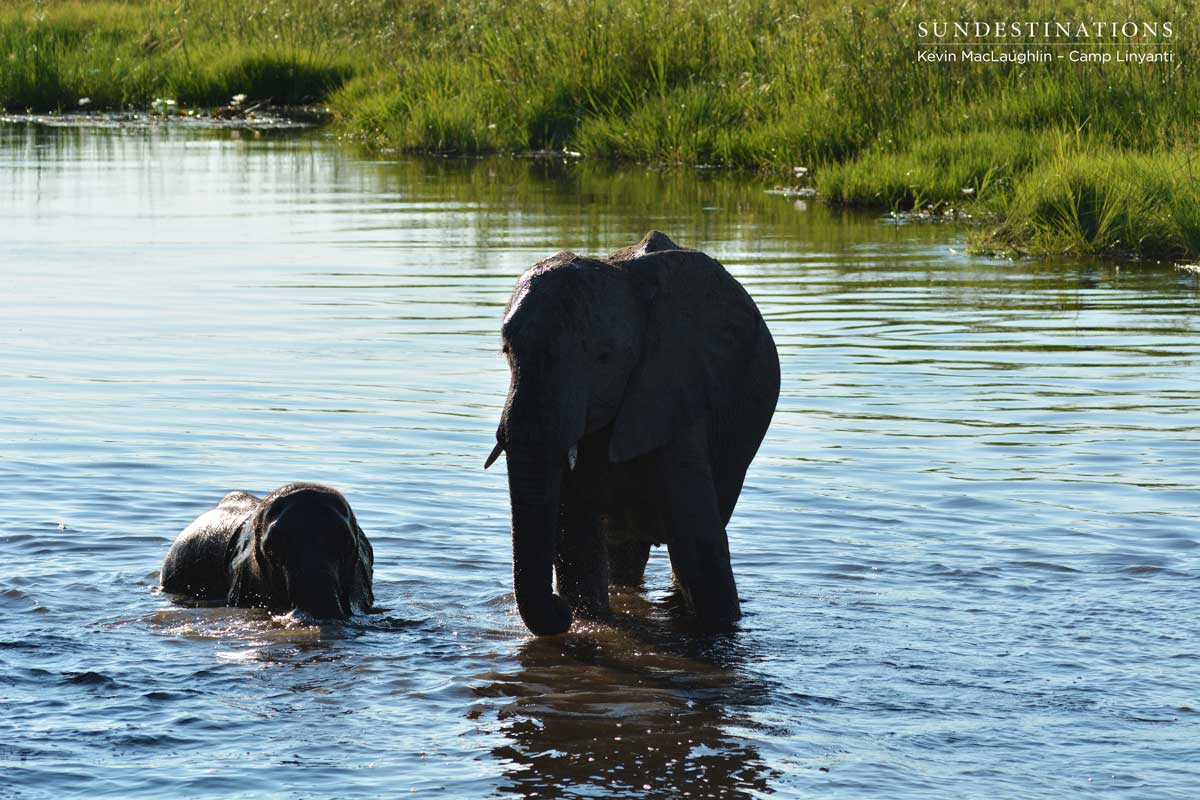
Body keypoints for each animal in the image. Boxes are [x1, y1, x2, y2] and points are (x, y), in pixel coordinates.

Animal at [487, 232, 777, 638]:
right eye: (506, 350)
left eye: (604, 357)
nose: (560, 608)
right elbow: (575, 536)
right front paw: (588, 620)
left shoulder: (677, 393)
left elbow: (698, 545)